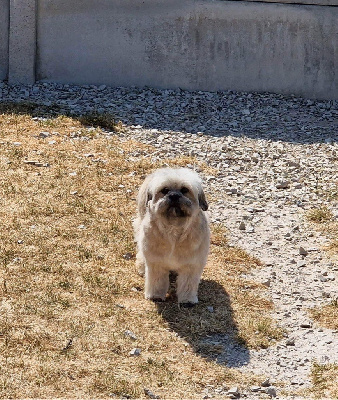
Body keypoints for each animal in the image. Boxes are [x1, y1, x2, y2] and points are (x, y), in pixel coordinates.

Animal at [133, 167, 210, 304]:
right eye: (165, 190)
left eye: (185, 190)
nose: (174, 196)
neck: (174, 230)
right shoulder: (156, 262)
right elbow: (157, 281)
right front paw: (156, 295)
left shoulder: (192, 265)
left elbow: (188, 283)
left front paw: (187, 300)